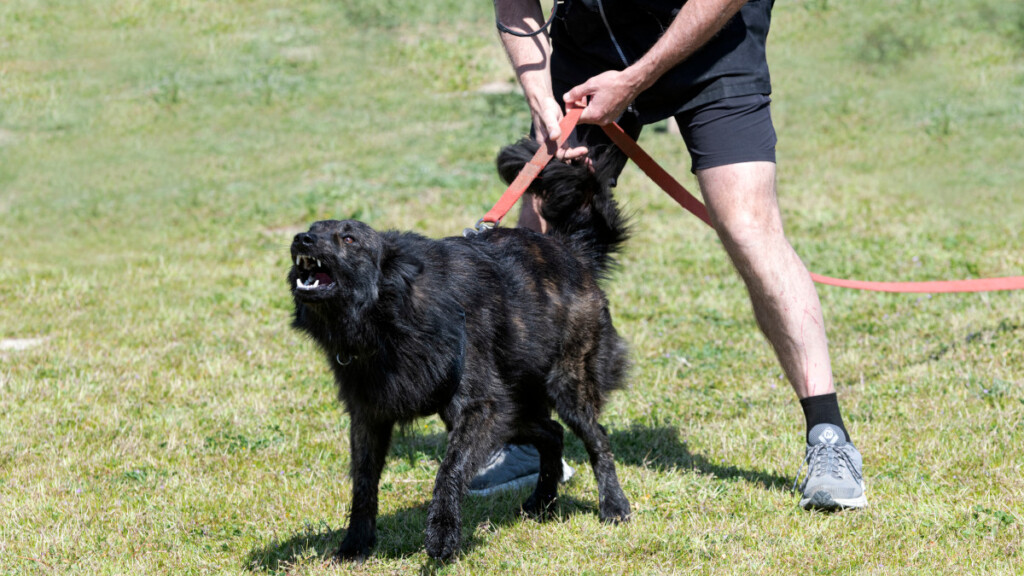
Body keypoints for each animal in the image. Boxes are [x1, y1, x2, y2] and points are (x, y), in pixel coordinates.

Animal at [288, 140, 634, 561]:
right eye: (313, 230)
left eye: (349, 238)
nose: (301, 240)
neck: (391, 313)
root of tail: (570, 251)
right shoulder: (370, 416)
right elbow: (364, 483)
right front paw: (356, 542)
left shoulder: (480, 407)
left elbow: (448, 469)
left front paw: (442, 533)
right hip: (513, 408)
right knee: (552, 433)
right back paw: (543, 501)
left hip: (565, 385)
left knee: (597, 438)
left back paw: (613, 505)